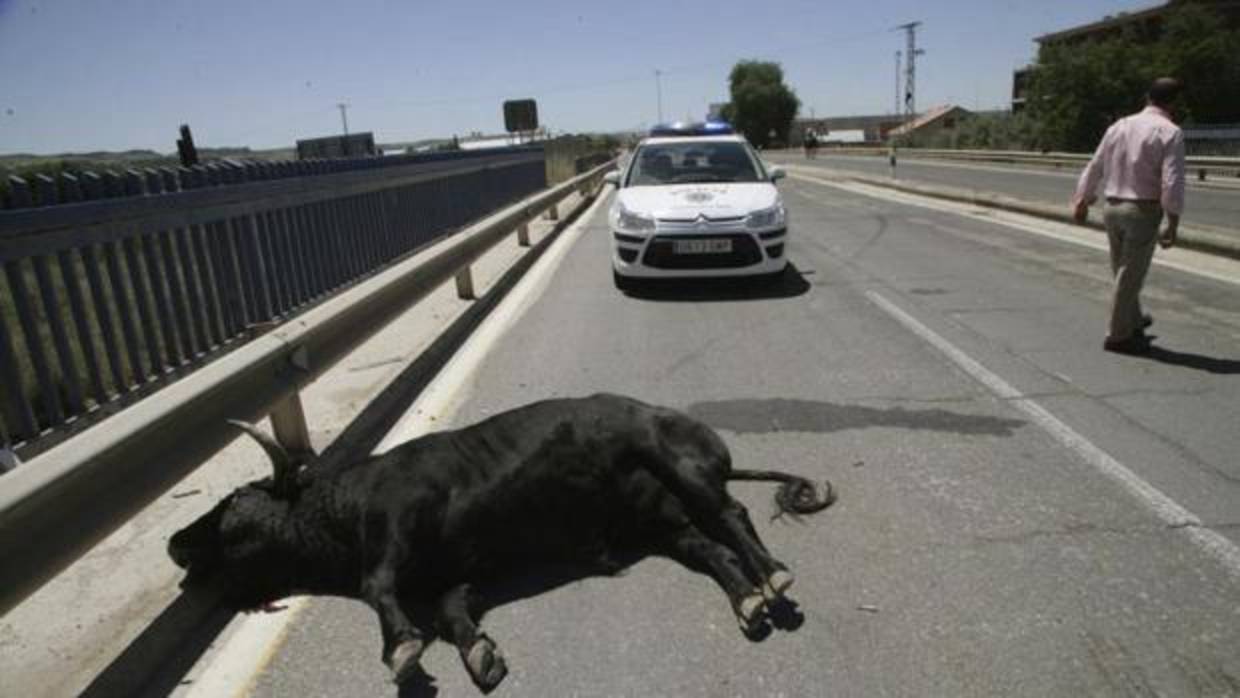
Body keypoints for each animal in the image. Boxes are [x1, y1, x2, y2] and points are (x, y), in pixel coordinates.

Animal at [169, 394, 838, 694]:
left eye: (233, 503)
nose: (177, 544)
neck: (346, 505)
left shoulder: (397, 523)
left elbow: (376, 585)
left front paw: (401, 648)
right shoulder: (463, 575)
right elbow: (449, 611)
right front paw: (478, 651)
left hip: (679, 465)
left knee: (733, 514)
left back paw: (774, 575)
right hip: (663, 524)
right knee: (714, 550)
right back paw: (749, 599)